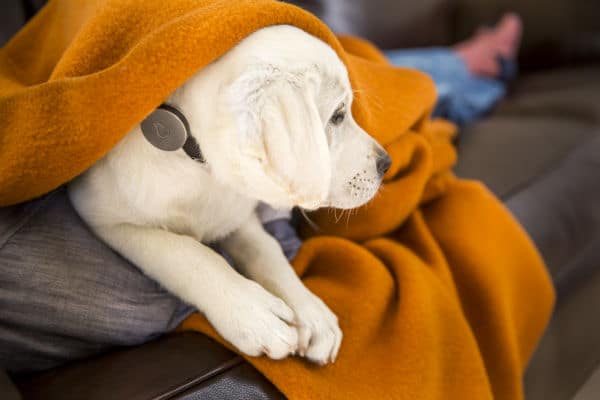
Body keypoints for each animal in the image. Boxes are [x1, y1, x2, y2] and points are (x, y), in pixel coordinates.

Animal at [69, 24, 390, 362]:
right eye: (338, 116)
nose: (387, 164)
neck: (203, 171)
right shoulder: (104, 215)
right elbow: (187, 253)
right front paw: (254, 314)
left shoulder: (236, 216)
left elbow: (267, 250)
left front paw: (310, 312)